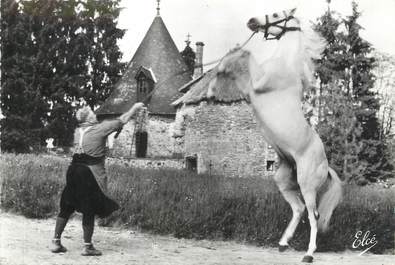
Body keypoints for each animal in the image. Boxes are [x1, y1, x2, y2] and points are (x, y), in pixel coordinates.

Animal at [210, 8, 344, 262]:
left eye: (275, 14)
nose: (251, 21)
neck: (286, 63)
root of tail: (326, 167)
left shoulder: (257, 84)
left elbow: (246, 54)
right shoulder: (249, 91)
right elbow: (235, 64)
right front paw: (214, 85)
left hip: (307, 185)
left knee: (313, 215)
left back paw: (308, 254)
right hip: (283, 181)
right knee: (298, 209)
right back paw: (283, 243)